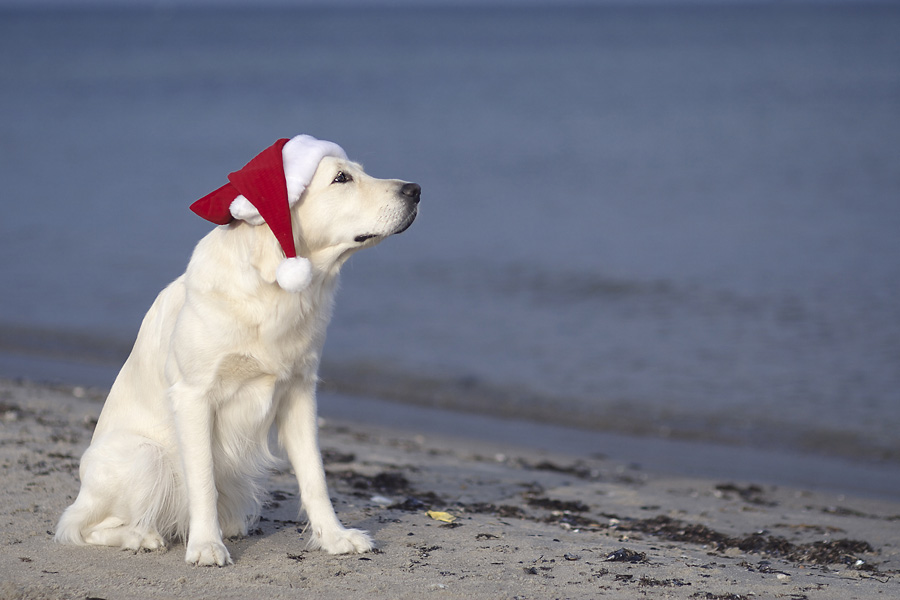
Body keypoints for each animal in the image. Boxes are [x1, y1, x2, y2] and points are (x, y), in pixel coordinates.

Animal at [54, 136, 420, 568]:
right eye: (341, 178)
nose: (415, 190)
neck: (274, 288)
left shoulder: (300, 392)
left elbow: (315, 476)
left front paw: (334, 537)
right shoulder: (194, 396)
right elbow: (203, 481)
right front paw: (205, 546)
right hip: (145, 458)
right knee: (81, 526)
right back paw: (141, 536)